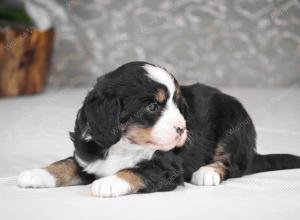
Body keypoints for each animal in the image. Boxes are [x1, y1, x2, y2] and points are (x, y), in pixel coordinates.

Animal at [17, 61, 300, 197]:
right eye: (153, 106)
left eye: (179, 105)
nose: (182, 129)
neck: (125, 143)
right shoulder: (89, 155)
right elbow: (64, 164)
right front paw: (34, 174)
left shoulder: (167, 167)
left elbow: (135, 171)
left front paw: (107, 183)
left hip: (233, 123)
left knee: (234, 164)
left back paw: (207, 172)